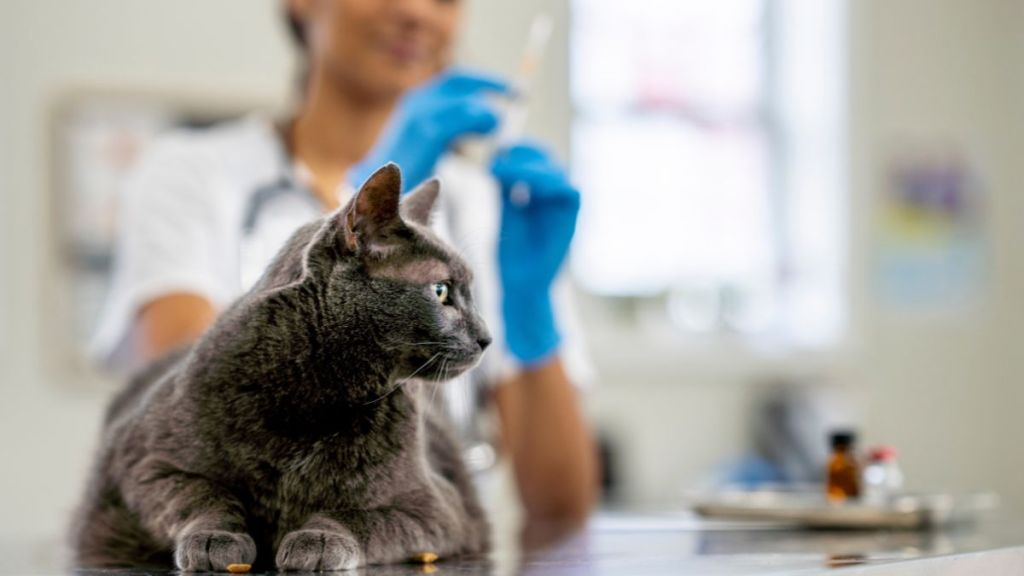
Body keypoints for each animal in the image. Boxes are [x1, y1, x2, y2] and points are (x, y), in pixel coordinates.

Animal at [70, 162, 493, 569]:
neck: (322, 395)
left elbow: (361, 516)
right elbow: (201, 495)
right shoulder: (144, 465)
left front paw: (319, 539)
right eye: (441, 291)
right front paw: (214, 538)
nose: (487, 338)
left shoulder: (438, 507)